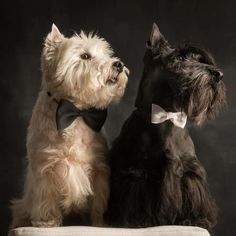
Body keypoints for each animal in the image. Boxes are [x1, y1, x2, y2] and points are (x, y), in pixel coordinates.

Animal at [10, 23, 129, 227]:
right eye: (85, 56)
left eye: (106, 54)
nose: (118, 65)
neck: (75, 112)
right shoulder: (45, 167)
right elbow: (46, 198)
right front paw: (47, 222)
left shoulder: (99, 168)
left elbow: (99, 201)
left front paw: (101, 224)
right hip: (23, 205)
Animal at [106, 23, 226, 230]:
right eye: (179, 58)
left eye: (197, 59)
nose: (218, 74)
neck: (167, 116)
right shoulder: (138, 172)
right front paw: (138, 220)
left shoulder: (189, 172)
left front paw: (194, 220)